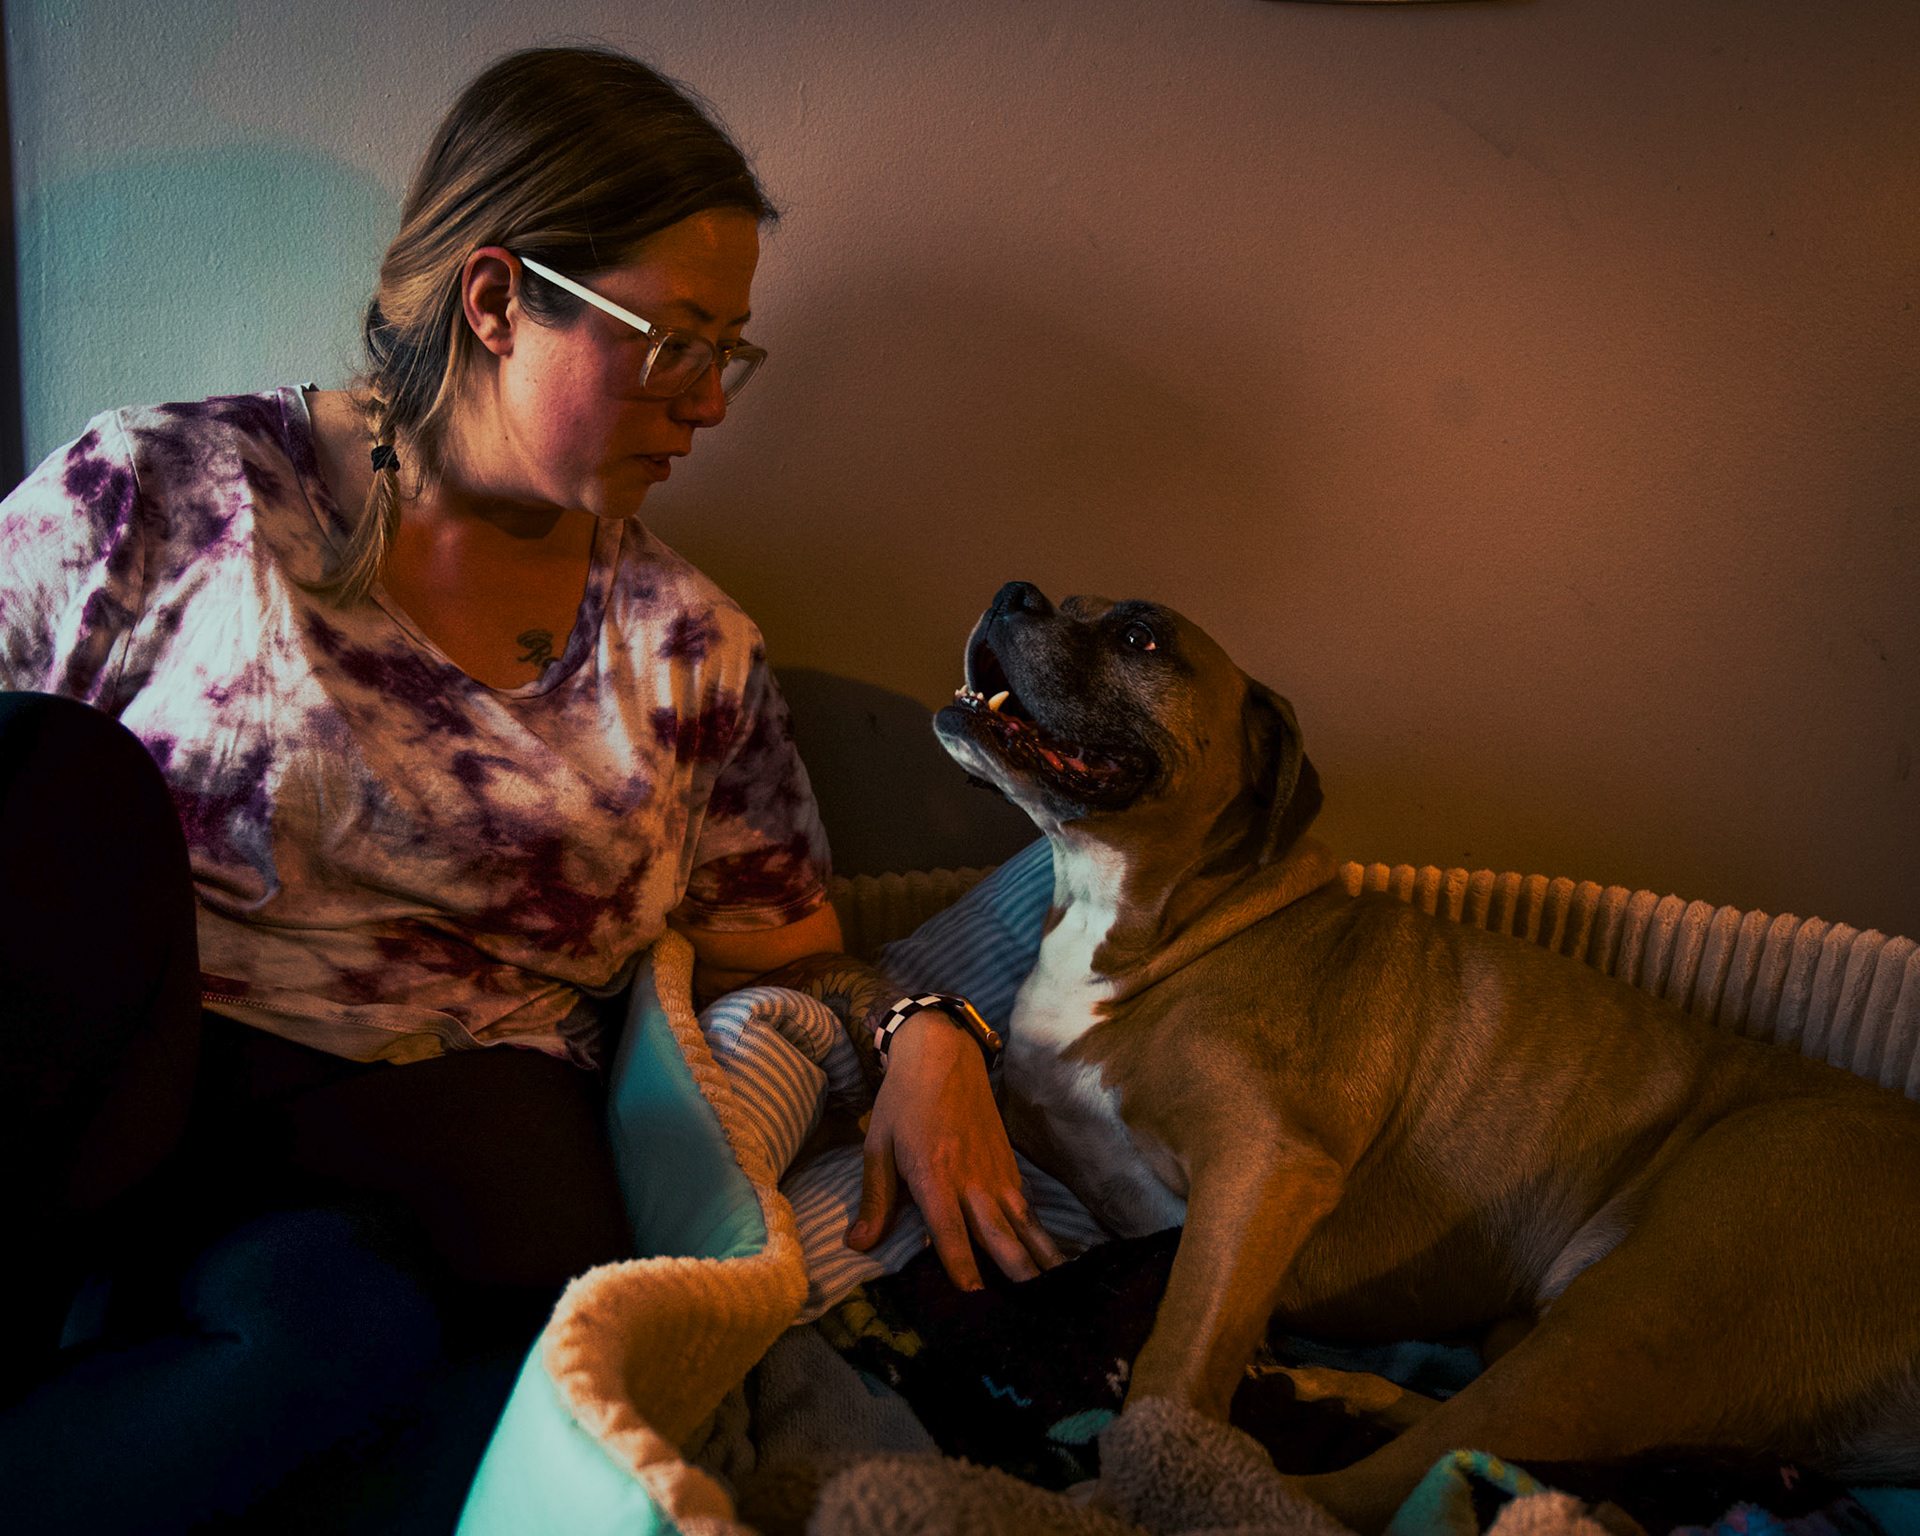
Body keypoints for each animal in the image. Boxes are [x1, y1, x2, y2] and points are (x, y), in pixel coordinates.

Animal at [933, 580, 1920, 1534]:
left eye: (1140, 637)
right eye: (1067, 605)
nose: (1016, 593)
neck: (1161, 916)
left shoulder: (1263, 1168)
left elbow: (1174, 1353)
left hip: (1640, 1316)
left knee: (1382, 1486)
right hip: (1540, 1333)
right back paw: (1343, 1387)